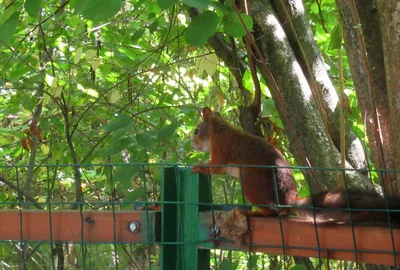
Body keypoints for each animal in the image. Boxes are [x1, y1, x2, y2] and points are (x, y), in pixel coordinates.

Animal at [190, 106, 400, 225]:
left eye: (196, 131)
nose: (192, 145)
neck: (218, 131)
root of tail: (287, 199)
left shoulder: (222, 148)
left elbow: (215, 167)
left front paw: (199, 166)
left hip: (250, 184)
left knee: (271, 213)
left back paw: (255, 213)